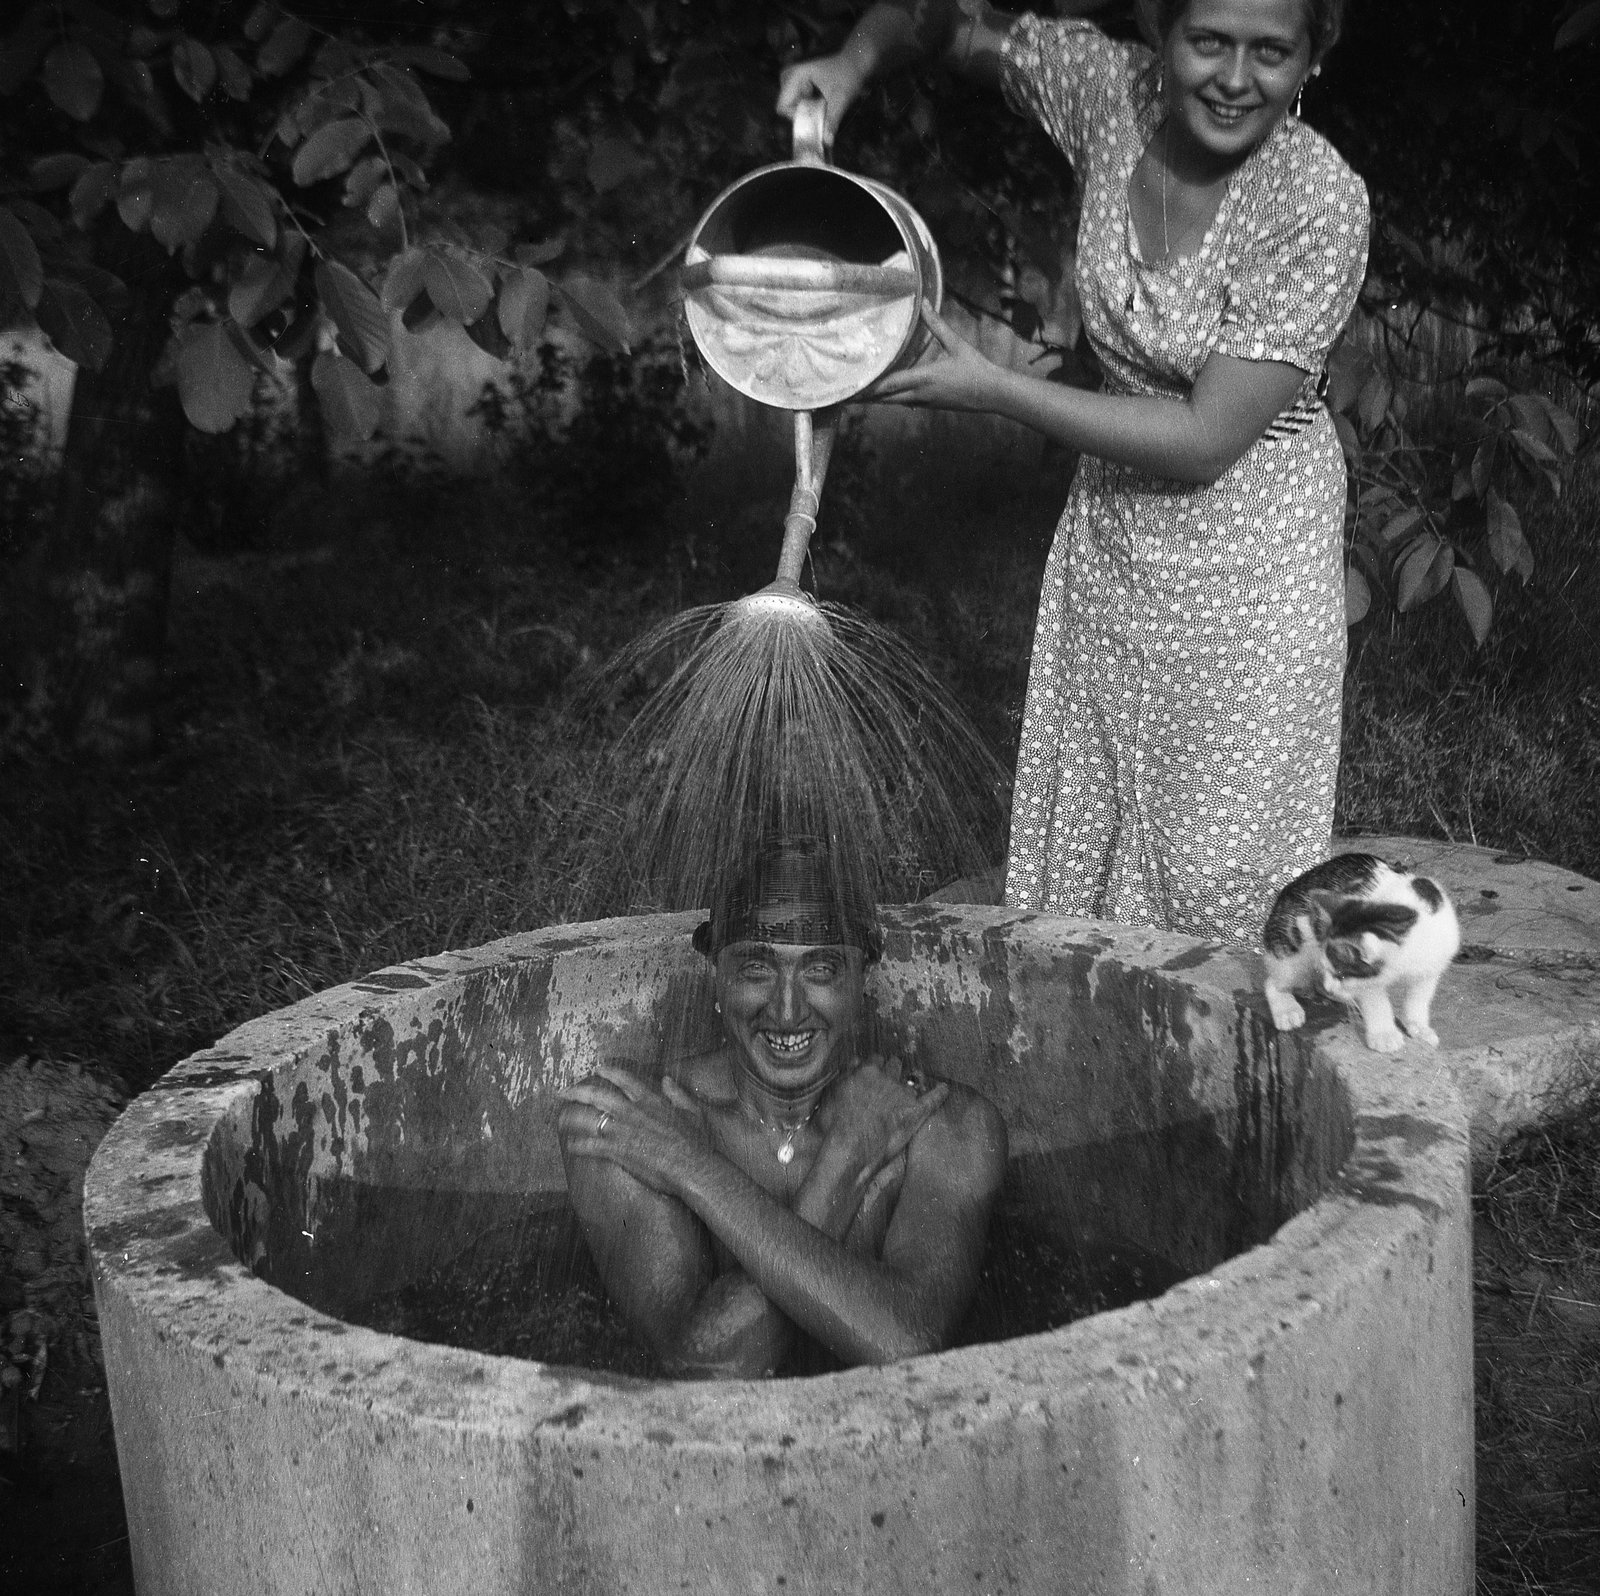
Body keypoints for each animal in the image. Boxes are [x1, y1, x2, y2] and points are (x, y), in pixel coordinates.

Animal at [1260, 857, 1465, 1055]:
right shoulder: (1366, 979)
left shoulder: (1433, 964)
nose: (1330, 985)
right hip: (1294, 951)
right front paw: (1384, 1035)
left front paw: (1418, 1026)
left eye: (1341, 975)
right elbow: (1375, 999)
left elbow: (1419, 997)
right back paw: (1287, 1008)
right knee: (1273, 982)